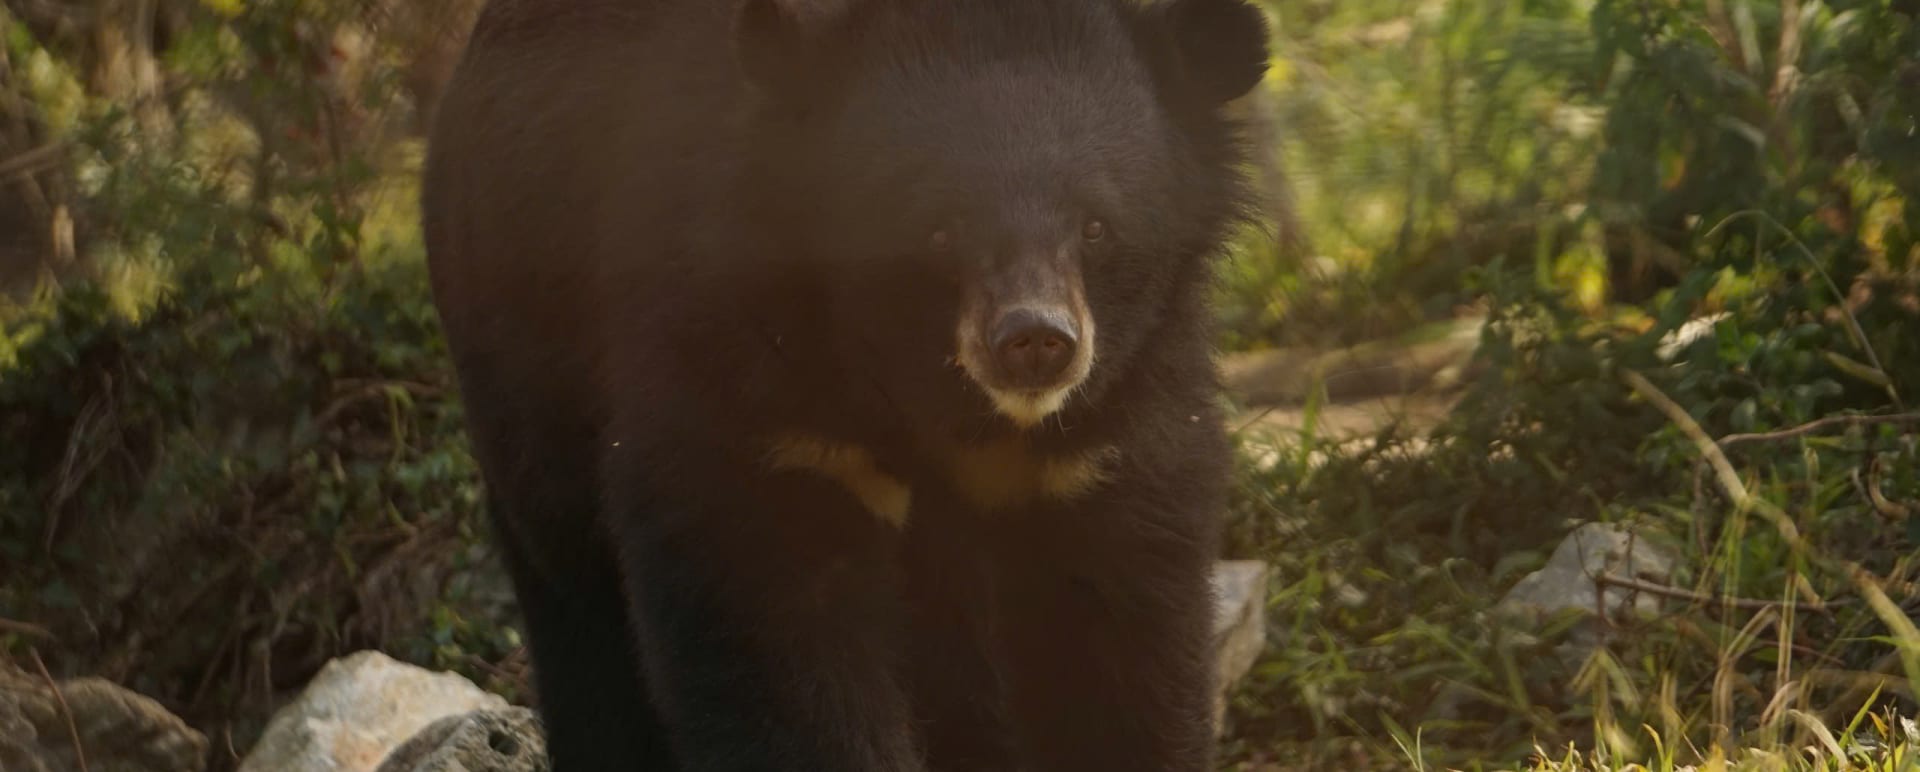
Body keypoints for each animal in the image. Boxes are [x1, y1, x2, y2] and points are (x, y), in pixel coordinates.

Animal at [419, 0, 1271, 769]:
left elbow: (1120, 639)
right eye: (939, 228)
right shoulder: (756, 390)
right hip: (522, 359)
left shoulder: (1105, 435)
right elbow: (777, 625)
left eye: (1096, 226)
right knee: (577, 603)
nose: (1036, 343)